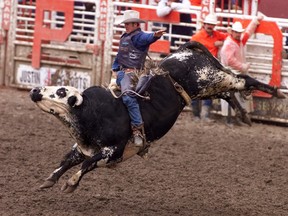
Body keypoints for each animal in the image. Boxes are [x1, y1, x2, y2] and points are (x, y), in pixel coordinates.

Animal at [29, 41, 286, 193]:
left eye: (61, 92)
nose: (35, 91)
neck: (92, 114)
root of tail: (185, 50)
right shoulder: (83, 148)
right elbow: (67, 160)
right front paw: (48, 181)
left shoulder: (114, 149)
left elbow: (87, 164)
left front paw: (70, 184)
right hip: (208, 88)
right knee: (229, 93)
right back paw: (244, 115)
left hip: (212, 77)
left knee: (242, 79)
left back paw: (276, 92)